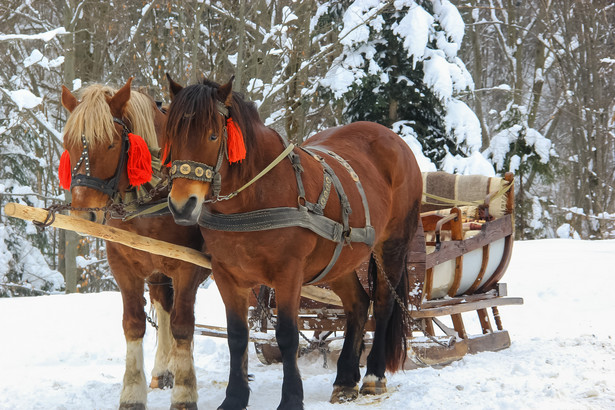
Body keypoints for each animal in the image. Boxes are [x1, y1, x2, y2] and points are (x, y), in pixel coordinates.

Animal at [60, 78, 209, 408]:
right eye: (69, 144)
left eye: (111, 144)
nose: (83, 214)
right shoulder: (123, 265)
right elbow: (134, 323)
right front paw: (131, 392)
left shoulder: (188, 266)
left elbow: (184, 324)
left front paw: (185, 392)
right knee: (164, 305)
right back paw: (163, 370)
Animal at [164, 74, 424, 410]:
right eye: (171, 135)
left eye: (212, 135)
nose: (182, 205)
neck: (254, 198)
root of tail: (393, 137)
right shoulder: (227, 274)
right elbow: (237, 335)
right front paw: (234, 397)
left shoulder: (288, 273)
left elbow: (288, 335)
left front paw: (290, 398)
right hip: (337, 260)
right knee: (357, 304)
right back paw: (345, 380)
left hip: (393, 244)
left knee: (382, 305)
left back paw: (372, 377)